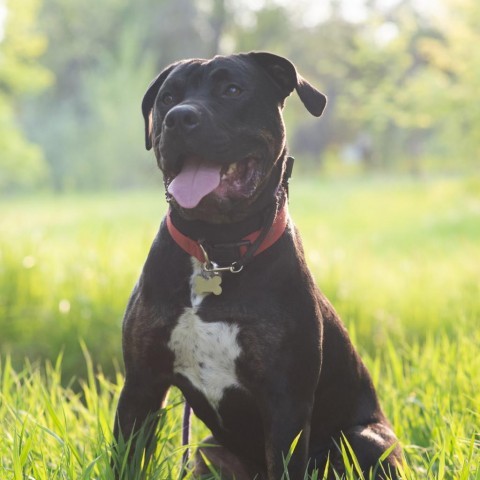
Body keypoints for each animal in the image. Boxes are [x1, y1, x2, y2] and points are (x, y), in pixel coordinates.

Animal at [113, 52, 402, 480]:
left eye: (232, 90)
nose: (179, 118)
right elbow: (125, 460)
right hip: (208, 451)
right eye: (168, 97)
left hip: (365, 440)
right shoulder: (141, 385)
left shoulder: (285, 400)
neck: (218, 250)